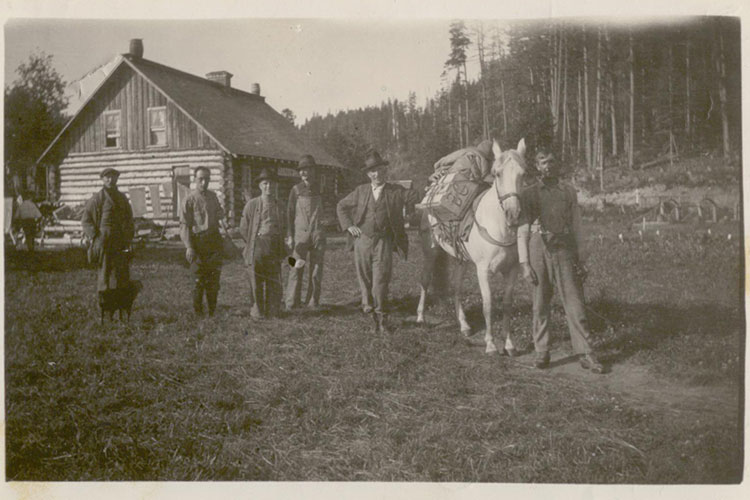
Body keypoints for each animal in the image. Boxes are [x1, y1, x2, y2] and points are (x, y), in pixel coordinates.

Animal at [418, 137, 528, 356]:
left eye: (523, 173)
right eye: (497, 173)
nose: (513, 215)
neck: (498, 226)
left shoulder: (512, 270)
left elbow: (507, 304)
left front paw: (509, 344)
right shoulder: (482, 270)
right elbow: (488, 304)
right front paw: (491, 345)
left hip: (461, 259)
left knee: (457, 287)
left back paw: (464, 325)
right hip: (431, 251)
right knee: (425, 280)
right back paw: (420, 317)